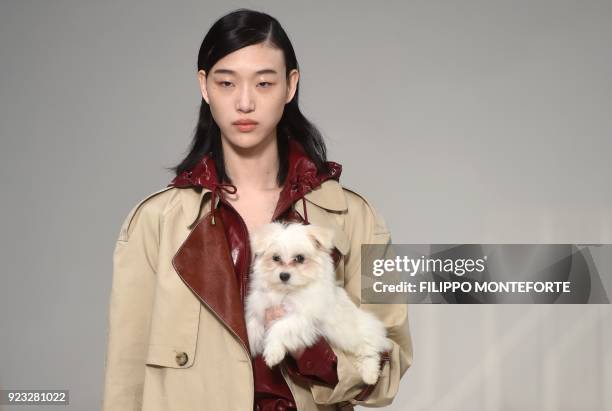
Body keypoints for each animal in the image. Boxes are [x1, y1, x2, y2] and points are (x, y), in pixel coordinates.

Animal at [245, 222, 392, 386]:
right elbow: (251, 327)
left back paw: (370, 374)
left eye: (300, 258)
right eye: (275, 258)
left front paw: (273, 352)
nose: (283, 275)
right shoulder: (259, 311)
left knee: (370, 348)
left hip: (355, 335)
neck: (286, 292)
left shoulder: (303, 318)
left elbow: (280, 327)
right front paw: (249, 344)